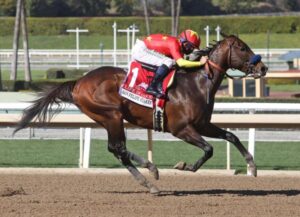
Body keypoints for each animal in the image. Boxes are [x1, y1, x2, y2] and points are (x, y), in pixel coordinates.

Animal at [13, 33, 268, 193]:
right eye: (243, 48)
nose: (263, 67)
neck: (197, 83)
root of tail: (78, 82)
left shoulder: (203, 124)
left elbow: (231, 136)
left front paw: (252, 166)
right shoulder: (181, 129)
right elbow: (209, 149)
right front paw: (184, 166)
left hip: (108, 118)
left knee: (117, 150)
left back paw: (150, 179)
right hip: (112, 115)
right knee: (118, 148)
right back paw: (151, 173)